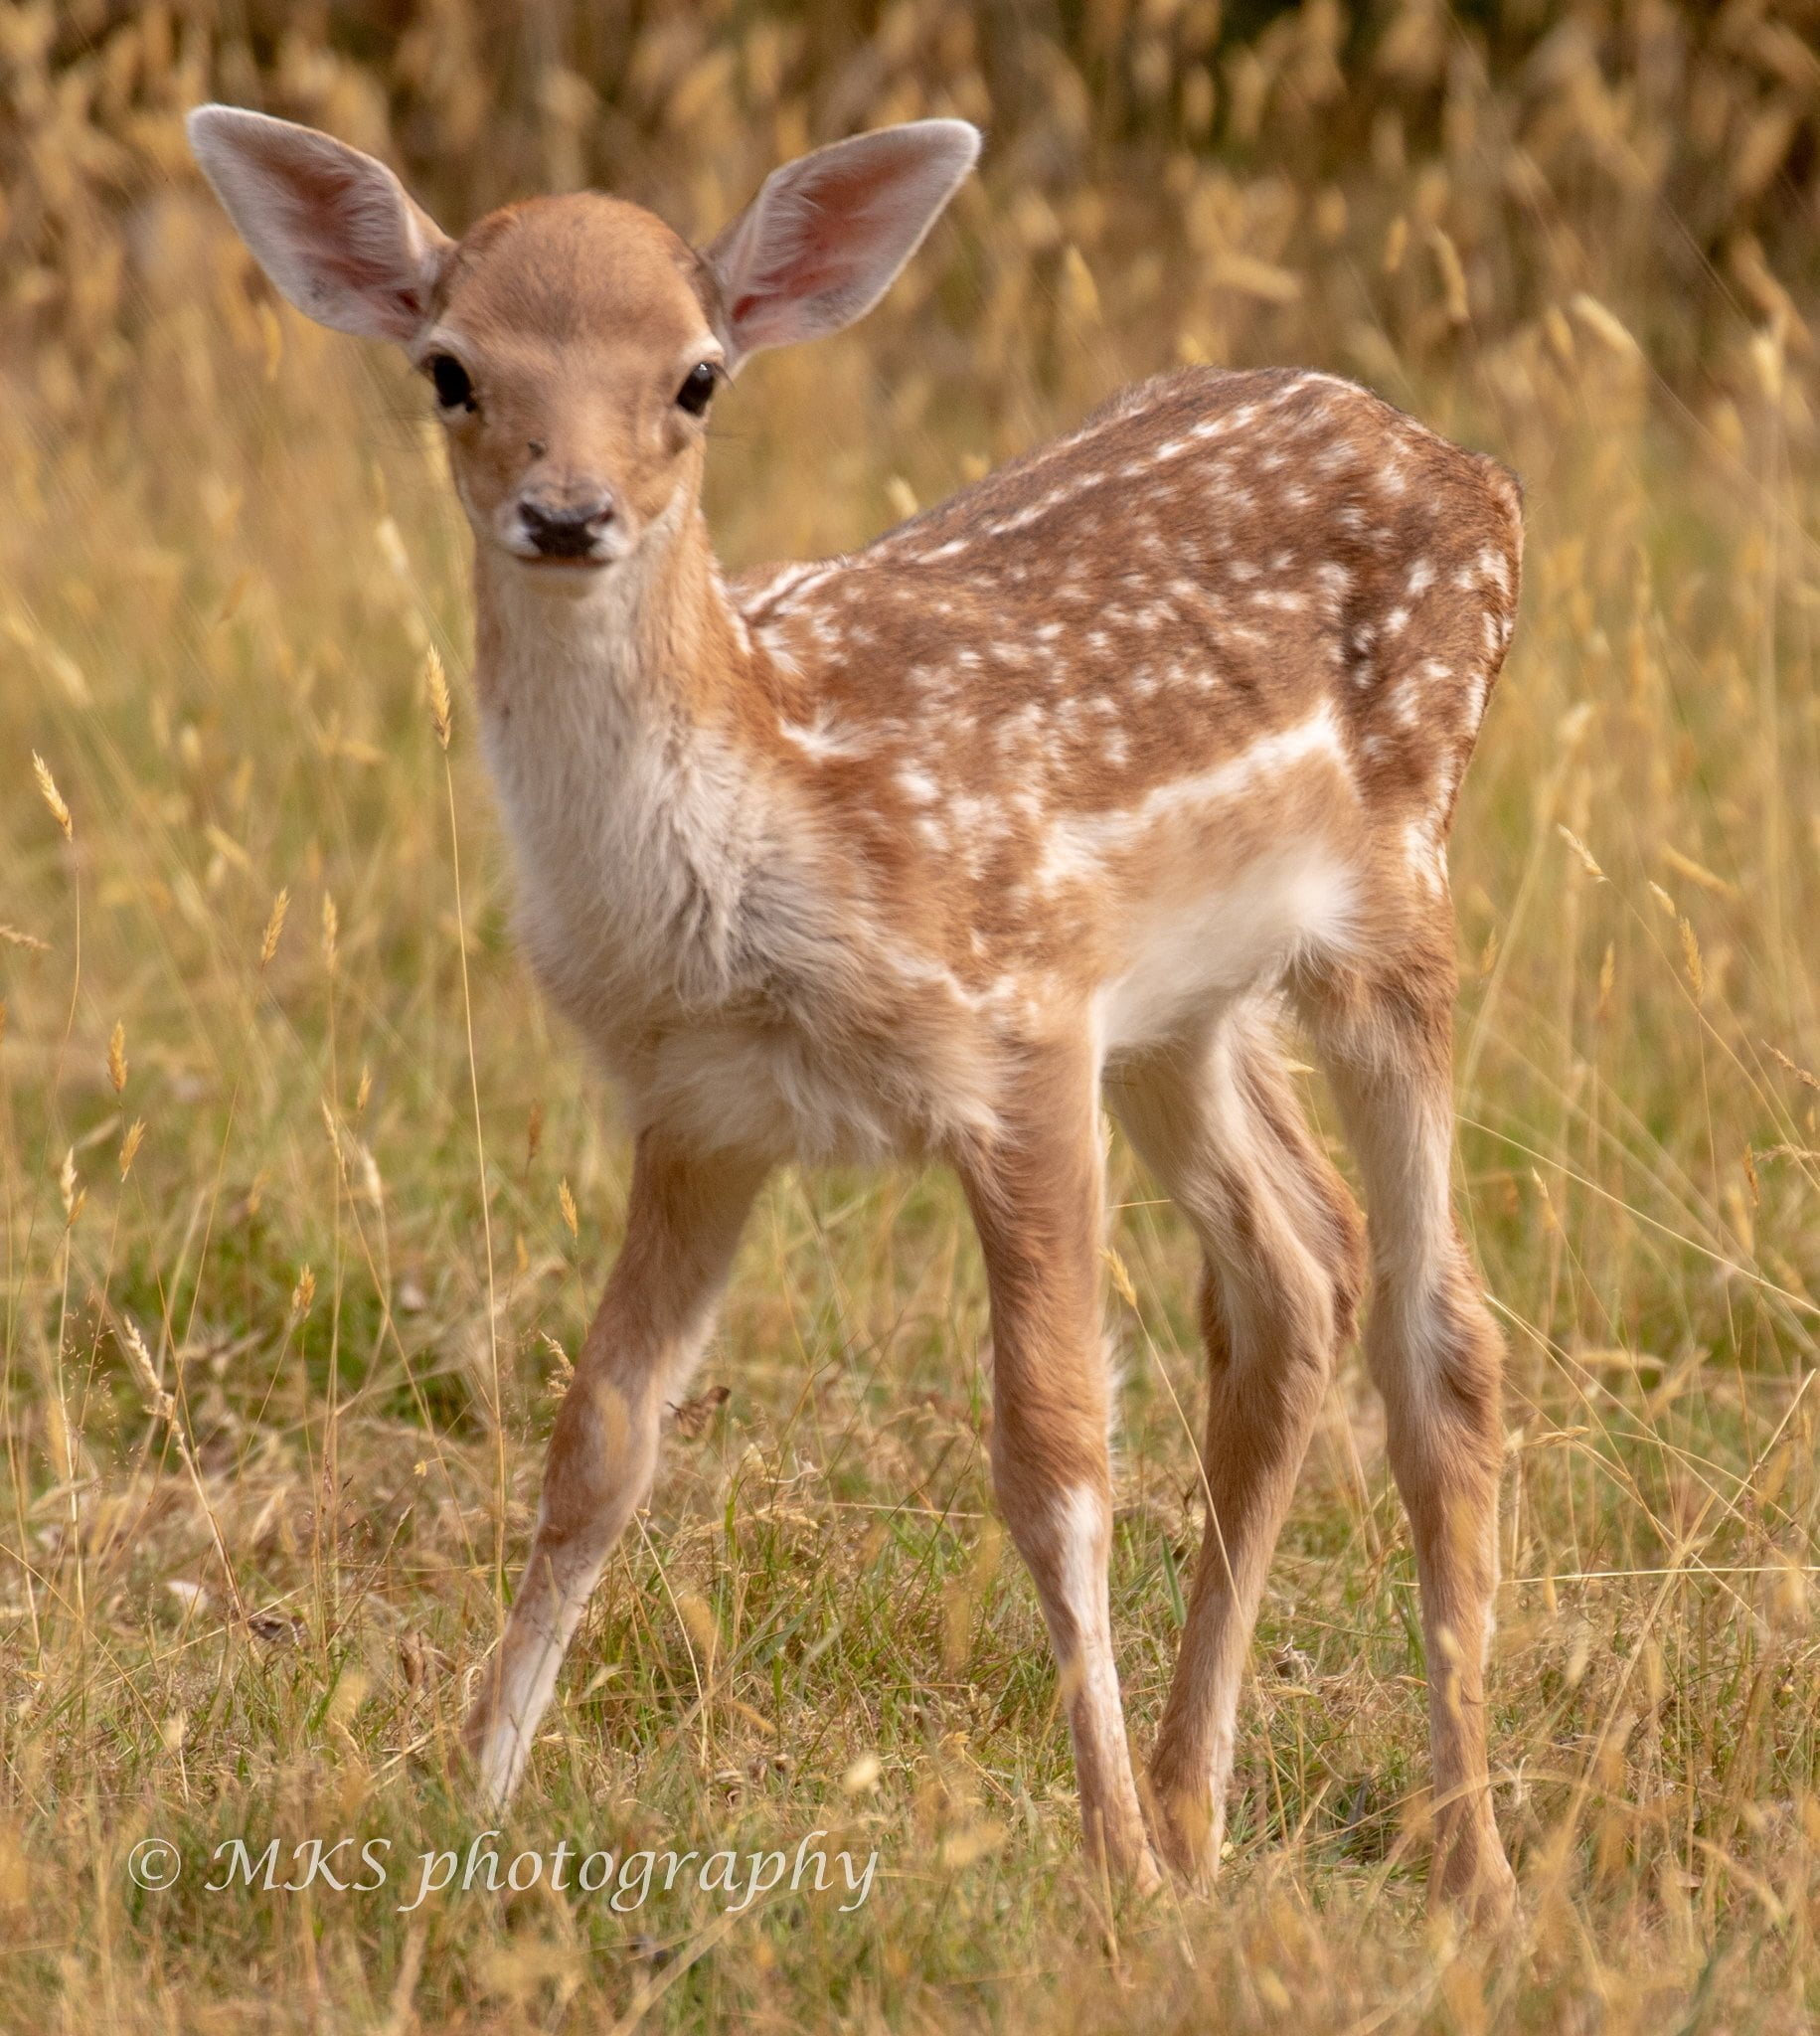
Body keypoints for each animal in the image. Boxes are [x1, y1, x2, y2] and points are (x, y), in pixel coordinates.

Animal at [188, 102, 1522, 1917]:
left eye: (695, 378)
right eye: (450, 368)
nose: (567, 511)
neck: (770, 825)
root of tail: (1473, 471)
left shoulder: (1017, 1033)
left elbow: (1053, 1460)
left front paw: (1104, 1861)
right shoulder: (698, 1109)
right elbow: (595, 1445)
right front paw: (466, 1793)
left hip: (1396, 893)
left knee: (1440, 1336)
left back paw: (1465, 1865)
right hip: (1178, 1005)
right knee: (1292, 1266)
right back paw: (1200, 1813)